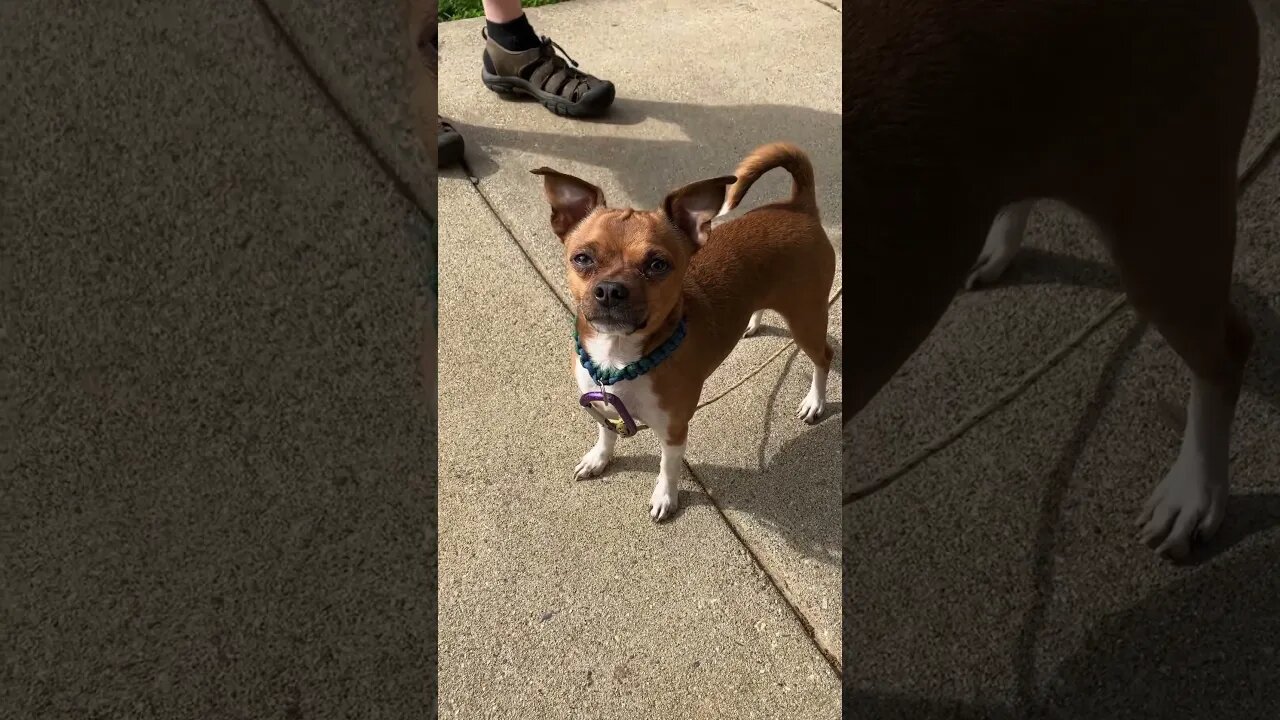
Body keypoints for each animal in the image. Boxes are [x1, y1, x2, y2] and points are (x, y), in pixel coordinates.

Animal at [532, 142, 839, 517]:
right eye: (582, 259)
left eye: (657, 265)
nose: (610, 290)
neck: (617, 357)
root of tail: (799, 206)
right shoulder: (603, 406)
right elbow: (607, 434)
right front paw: (599, 458)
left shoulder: (675, 429)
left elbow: (668, 466)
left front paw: (665, 496)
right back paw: (752, 322)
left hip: (806, 320)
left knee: (824, 357)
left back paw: (815, 401)